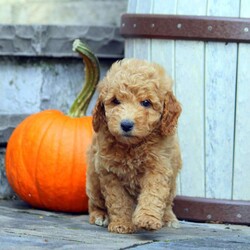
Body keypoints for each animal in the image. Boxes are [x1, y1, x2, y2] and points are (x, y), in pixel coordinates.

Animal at [86, 57, 182, 233]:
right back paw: (99, 216)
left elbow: (153, 195)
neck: (132, 146)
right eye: (115, 101)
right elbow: (118, 201)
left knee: (167, 204)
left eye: (146, 103)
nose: (126, 124)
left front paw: (147, 219)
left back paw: (169, 218)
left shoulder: (159, 168)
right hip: (93, 179)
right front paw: (122, 224)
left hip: (172, 183)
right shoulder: (109, 173)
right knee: (94, 202)